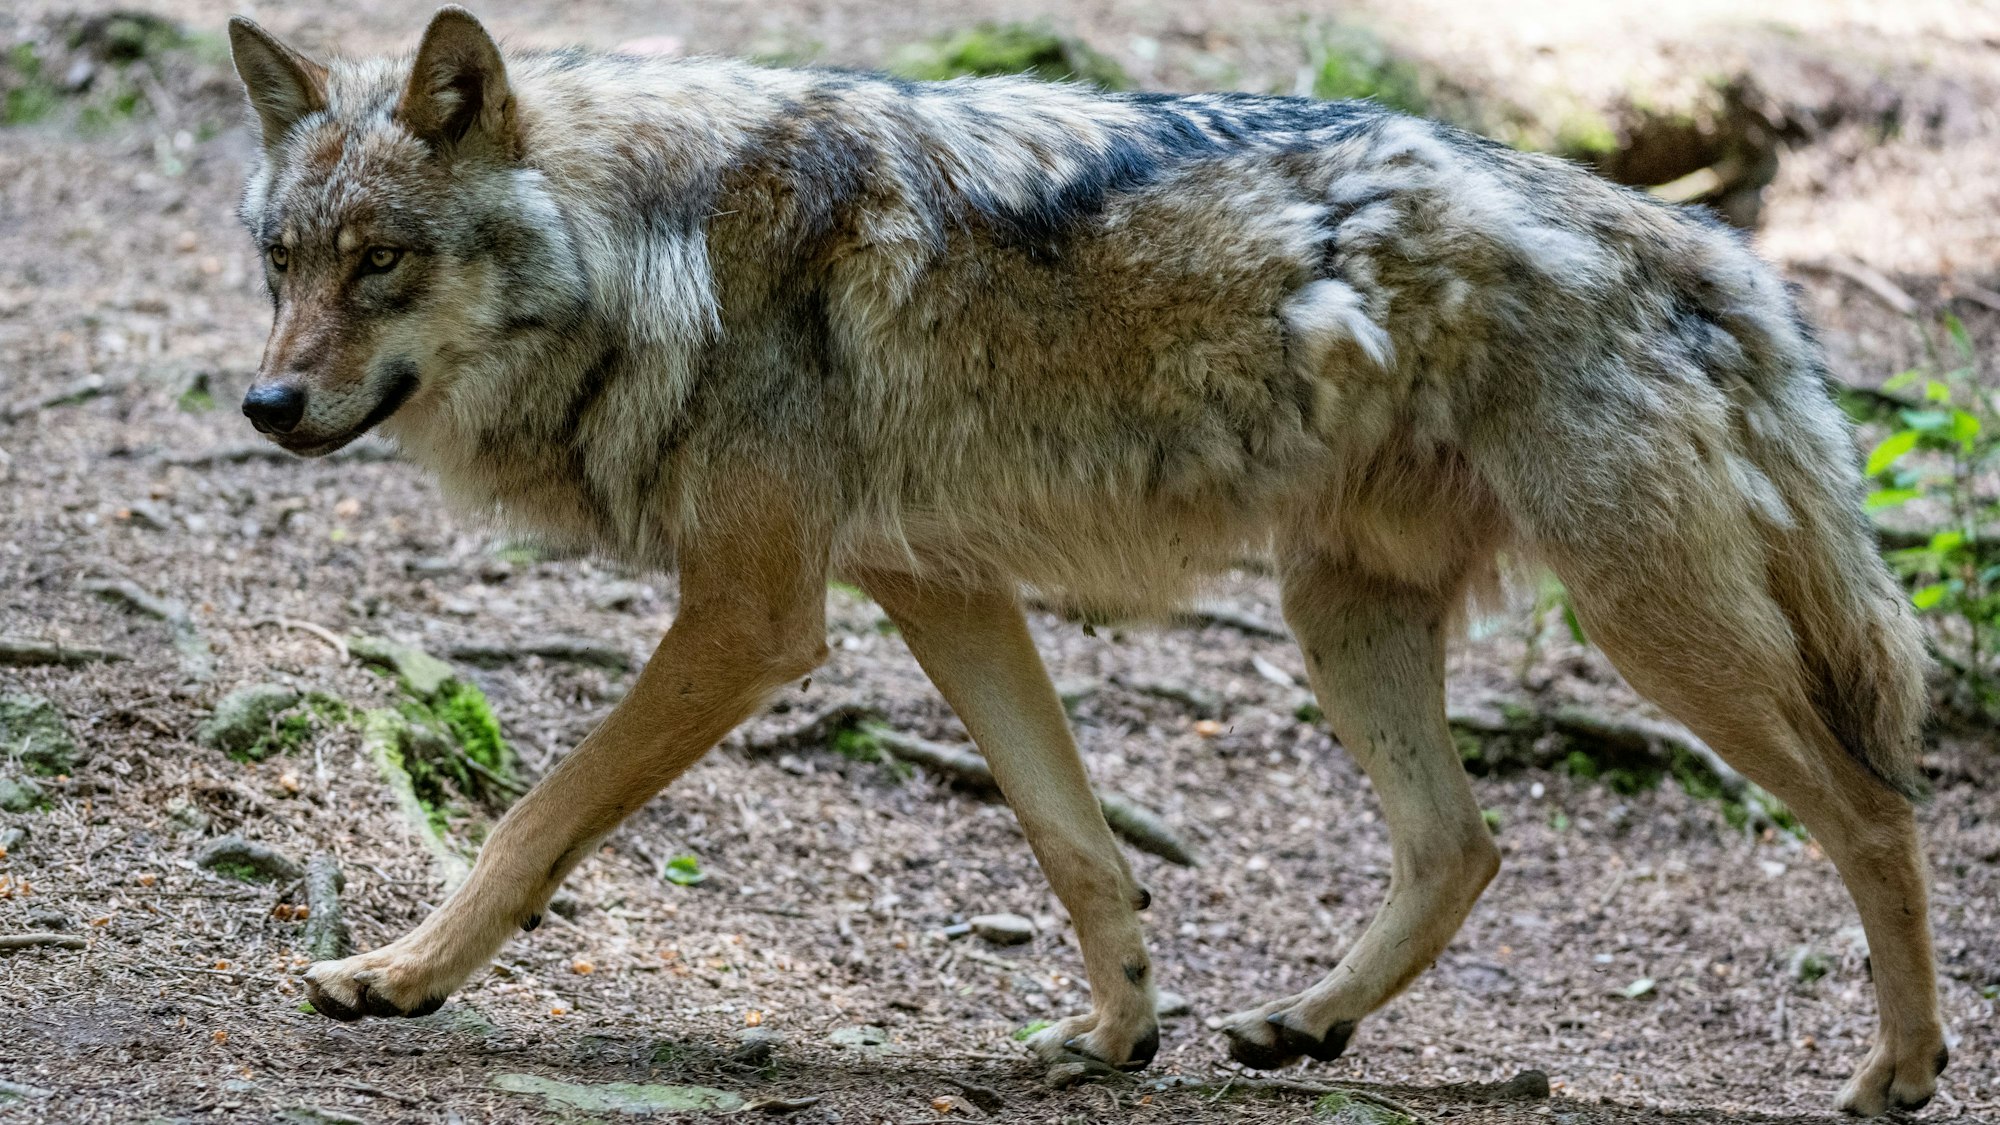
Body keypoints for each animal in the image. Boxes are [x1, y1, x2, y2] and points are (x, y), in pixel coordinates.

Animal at [227, 7, 1946, 1113]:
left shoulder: (756, 619)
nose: (263, 405)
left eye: (382, 264)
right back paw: (1300, 1027)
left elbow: (537, 817)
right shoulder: (939, 586)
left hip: (1642, 626)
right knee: (1462, 846)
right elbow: (1075, 842)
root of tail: (1702, 244)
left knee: (1874, 809)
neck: (661, 244)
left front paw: (399, 972)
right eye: (281, 261)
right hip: (1340, 612)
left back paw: (1902, 1071)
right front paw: (1122, 1029)